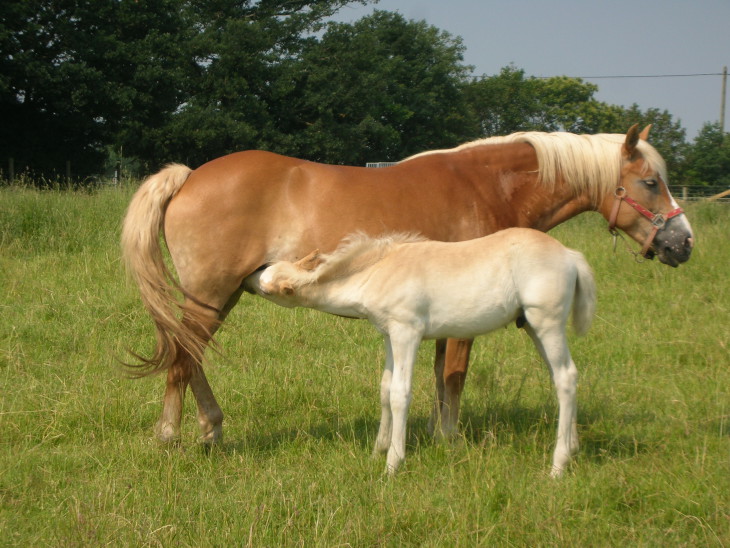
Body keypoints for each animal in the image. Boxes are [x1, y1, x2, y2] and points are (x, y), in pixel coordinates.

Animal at [122, 124, 692, 446]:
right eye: (650, 182)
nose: (683, 243)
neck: (487, 186)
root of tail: (190, 175)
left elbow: (440, 378)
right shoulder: (461, 320)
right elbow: (454, 377)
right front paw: (449, 441)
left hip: (223, 295)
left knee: (190, 356)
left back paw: (211, 427)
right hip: (210, 294)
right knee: (182, 357)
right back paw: (171, 435)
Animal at [247, 227, 596, 476]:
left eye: (267, 285)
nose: (248, 275)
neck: (379, 271)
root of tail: (570, 255)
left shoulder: (407, 332)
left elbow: (401, 393)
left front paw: (392, 463)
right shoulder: (389, 334)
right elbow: (385, 388)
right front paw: (377, 450)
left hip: (546, 322)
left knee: (566, 376)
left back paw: (558, 466)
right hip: (533, 327)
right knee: (561, 378)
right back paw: (573, 448)